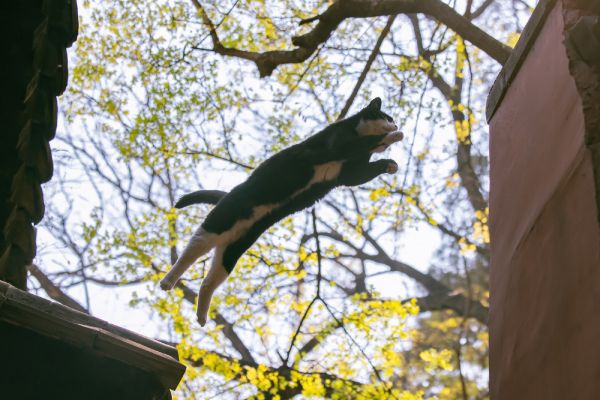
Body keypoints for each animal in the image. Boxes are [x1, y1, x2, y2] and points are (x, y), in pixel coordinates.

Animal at [159, 98, 404, 326]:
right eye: (388, 117)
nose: (396, 123)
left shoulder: (351, 171)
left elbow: (361, 174)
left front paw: (390, 164)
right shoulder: (339, 142)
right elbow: (365, 142)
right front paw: (393, 137)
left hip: (235, 246)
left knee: (210, 279)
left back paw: (202, 316)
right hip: (223, 219)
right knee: (194, 247)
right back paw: (168, 281)